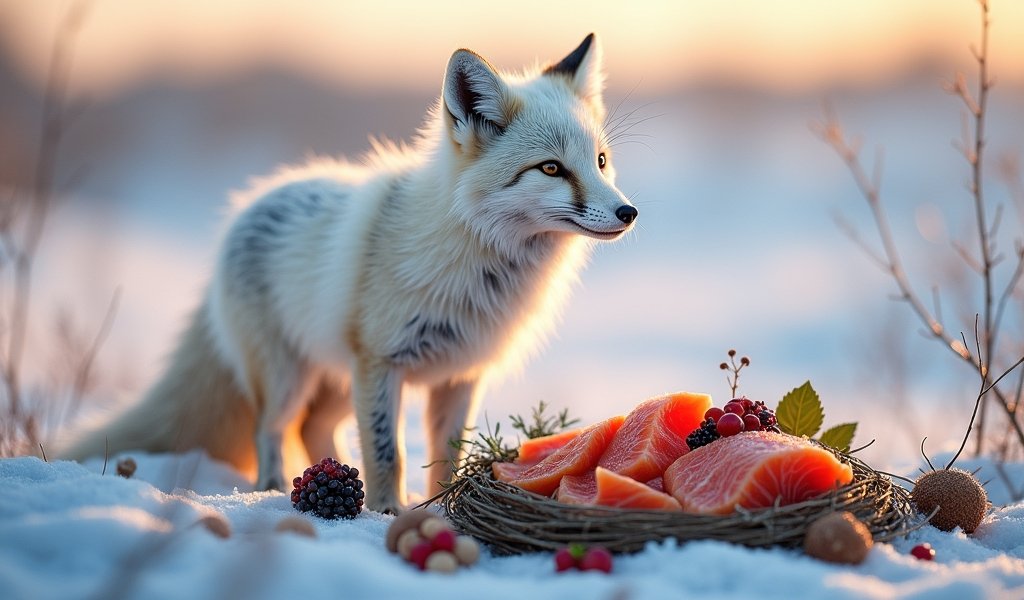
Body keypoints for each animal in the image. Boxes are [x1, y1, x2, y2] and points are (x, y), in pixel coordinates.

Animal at [61, 33, 637, 513]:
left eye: (601, 161)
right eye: (551, 169)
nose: (628, 212)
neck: (475, 265)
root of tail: (248, 206)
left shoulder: (457, 376)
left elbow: (446, 455)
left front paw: (437, 506)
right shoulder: (382, 361)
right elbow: (387, 452)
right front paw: (386, 512)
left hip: (337, 382)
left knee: (312, 429)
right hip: (291, 378)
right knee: (271, 429)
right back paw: (274, 489)